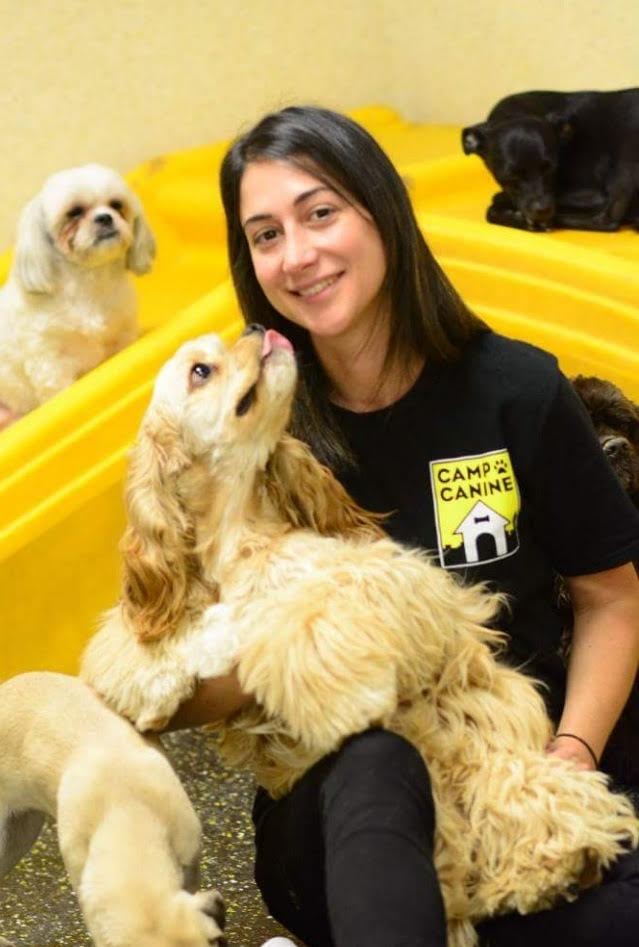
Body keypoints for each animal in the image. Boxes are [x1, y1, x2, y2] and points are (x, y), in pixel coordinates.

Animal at [0, 164, 155, 430]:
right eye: (74, 213)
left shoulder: (122, 335)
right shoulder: (50, 362)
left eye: (116, 205)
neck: (86, 281)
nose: (105, 217)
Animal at [462, 89, 639, 231]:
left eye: (551, 168)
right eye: (511, 177)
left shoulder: (593, 195)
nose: (543, 210)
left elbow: (493, 207)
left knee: (608, 220)